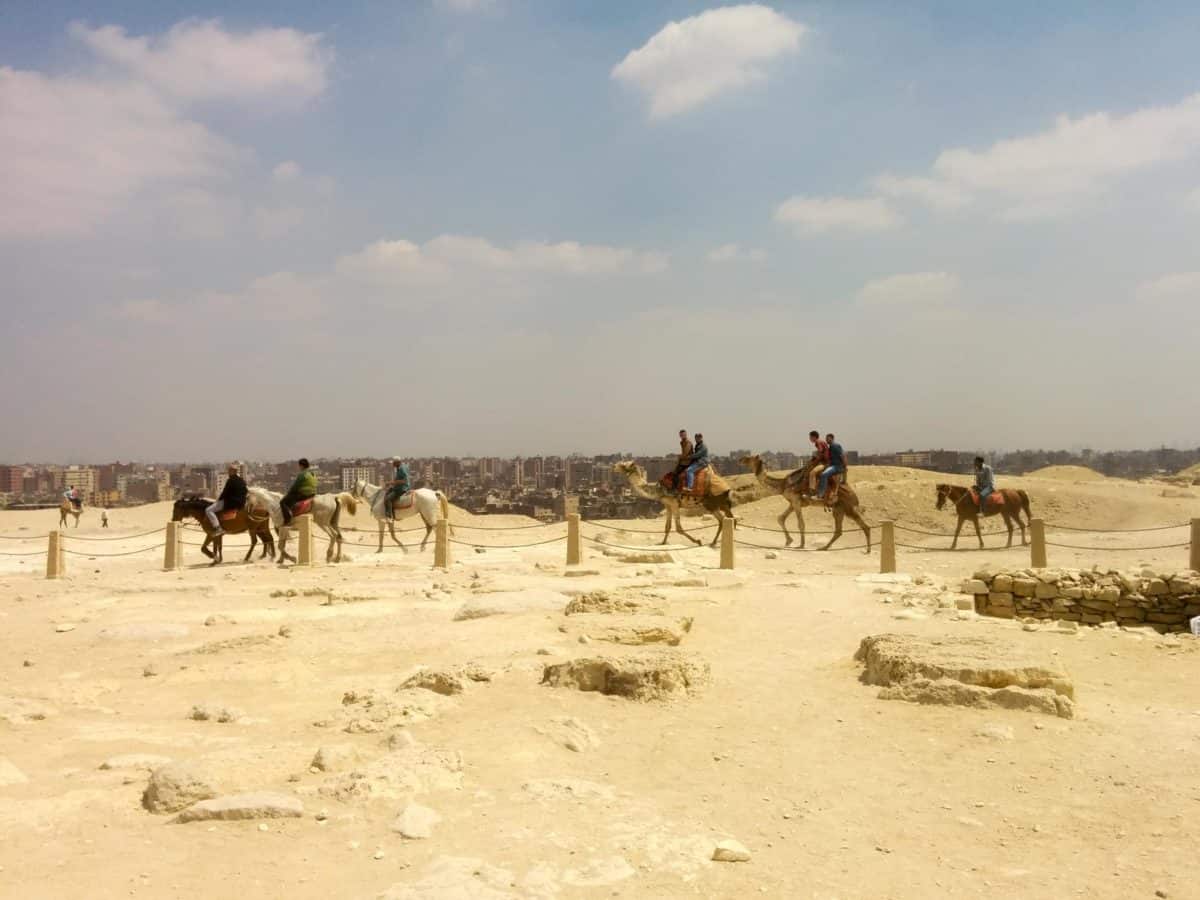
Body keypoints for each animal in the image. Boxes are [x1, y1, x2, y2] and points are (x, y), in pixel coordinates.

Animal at [734, 453, 868, 554]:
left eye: (749, 457)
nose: (740, 459)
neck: (783, 484)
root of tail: (854, 494)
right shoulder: (793, 502)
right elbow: (780, 518)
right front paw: (789, 541)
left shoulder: (796, 501)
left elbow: (801, 524)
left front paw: (801, 545)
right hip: (838, 509)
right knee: (841, 530)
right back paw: (826, 547)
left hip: (847, 507)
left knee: (859, 525)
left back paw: (866, 549)